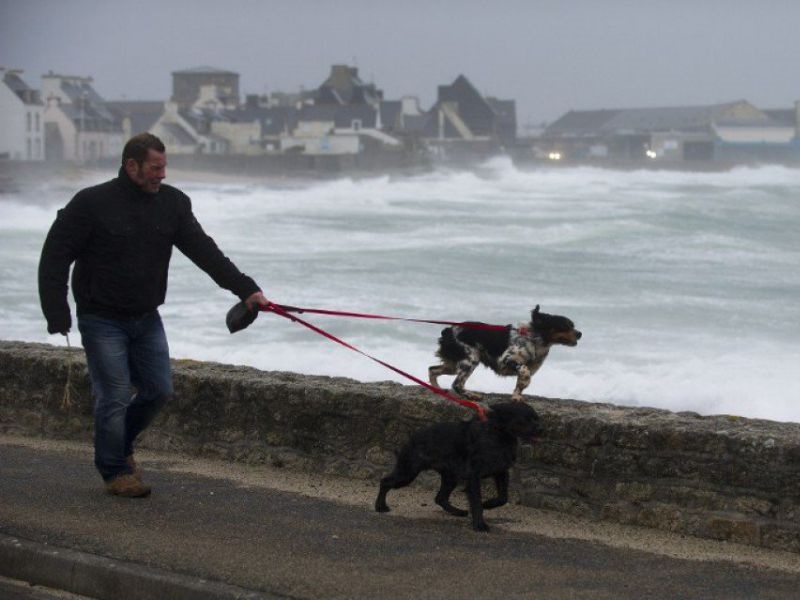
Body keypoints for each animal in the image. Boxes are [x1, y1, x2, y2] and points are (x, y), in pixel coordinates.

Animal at [374, 400, 536, 532]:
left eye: (535, 418)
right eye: (525, 419)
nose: (539, 429)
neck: (499, 436)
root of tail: (411, 439)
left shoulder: (501, 472)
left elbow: (503, 498)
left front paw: (488, 504)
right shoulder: (473, 477)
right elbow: (476, 503)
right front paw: (480, 525)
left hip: (450, 477)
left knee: (440, 498)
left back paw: (458, 511)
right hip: (408, 473)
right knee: (385, 482)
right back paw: (380, 506)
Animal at [428, 308, 580, 400]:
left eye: (572, 325)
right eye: (565, 326)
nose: (580, 334)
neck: (534, 338)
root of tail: (447, 330)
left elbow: (520, 383)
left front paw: (517, 396)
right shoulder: (507, 360)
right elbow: (524, 372)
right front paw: (523, 386)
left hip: (454, 364)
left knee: (432, 369)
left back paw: (437, 389)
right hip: (470, 360)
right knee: (457, 384)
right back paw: (471, 395)